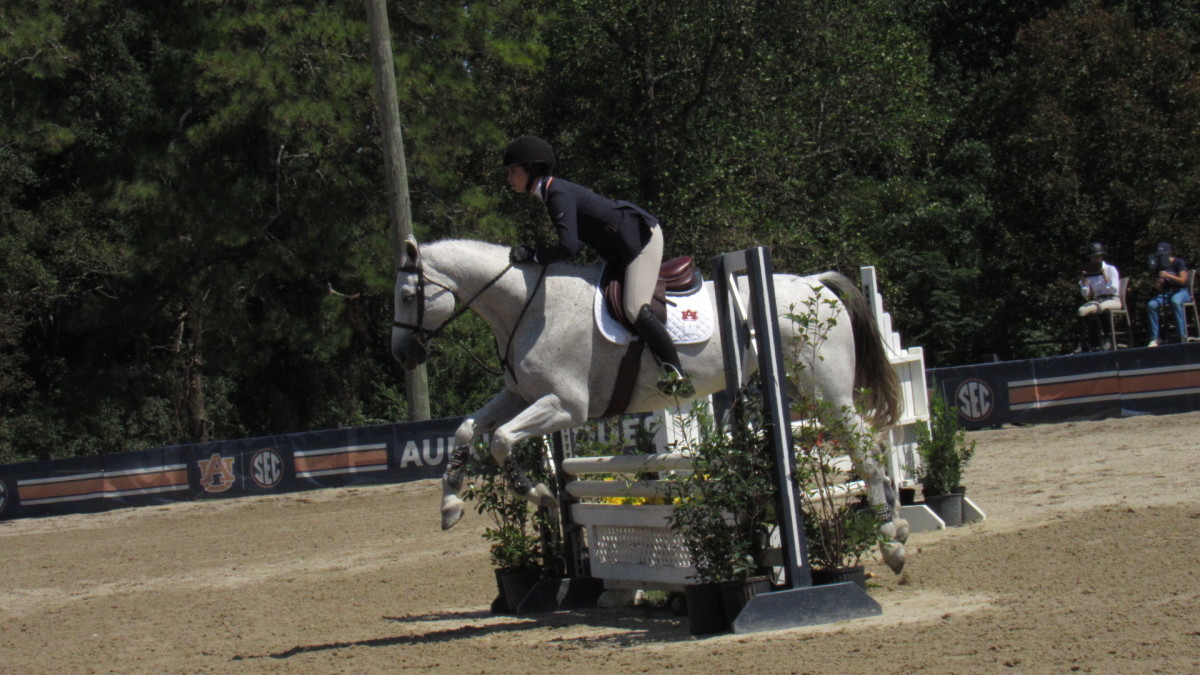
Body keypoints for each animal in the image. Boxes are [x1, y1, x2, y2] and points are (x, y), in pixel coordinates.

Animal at [393, 236, 907, 566]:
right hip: (809, 390)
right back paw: (897, 524)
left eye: (406, 294)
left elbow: (500, 440)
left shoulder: (565, 405)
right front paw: (450, 506)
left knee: (866, 448)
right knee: (876, 443)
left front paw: (536, 493)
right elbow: (469, 429)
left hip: (824, 389)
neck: (527, 307)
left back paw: (890, 541)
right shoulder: (522, 394)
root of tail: (812, 283)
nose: (402, 355)